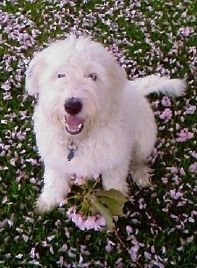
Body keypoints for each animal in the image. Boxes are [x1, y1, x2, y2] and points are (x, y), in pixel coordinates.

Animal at [25, 35, 185, 211]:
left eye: (93, 76)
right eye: (60, 75)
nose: (72, 106)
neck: (78, 140)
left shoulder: (116, 161)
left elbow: (114, 186)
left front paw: (115, 207)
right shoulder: (55, 162)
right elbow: (54, 182)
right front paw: (47, 202)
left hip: (145, 139)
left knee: (138, 158)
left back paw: (140, 173)